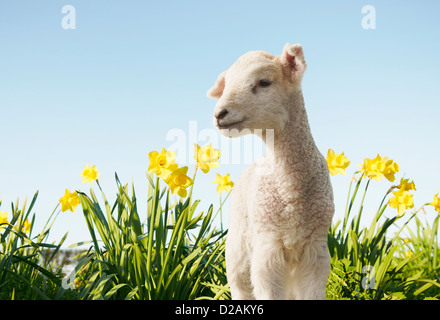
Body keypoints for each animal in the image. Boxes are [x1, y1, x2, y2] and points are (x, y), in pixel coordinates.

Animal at [208, 43, 336, 300]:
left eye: (264, 82)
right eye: (227, 85)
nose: (219, 114)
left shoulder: (316, 248)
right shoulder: (267, 246)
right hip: (237, 249)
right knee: (239, 286)